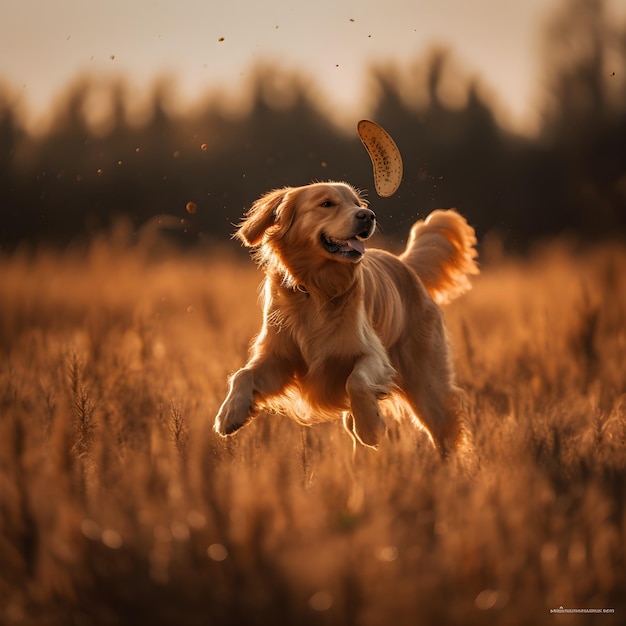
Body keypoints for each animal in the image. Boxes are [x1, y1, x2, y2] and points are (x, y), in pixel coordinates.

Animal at [214, 180, 478, 454]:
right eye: (326, 203)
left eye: (357, 204)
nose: (368, 216)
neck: (316, 290)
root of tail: (405, 266)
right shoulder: (278, 358)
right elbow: (242, 374)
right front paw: (230, 414)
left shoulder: (374, 355)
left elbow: (358, 381)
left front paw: (371, 426)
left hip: (427, 387)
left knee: (445, 433)